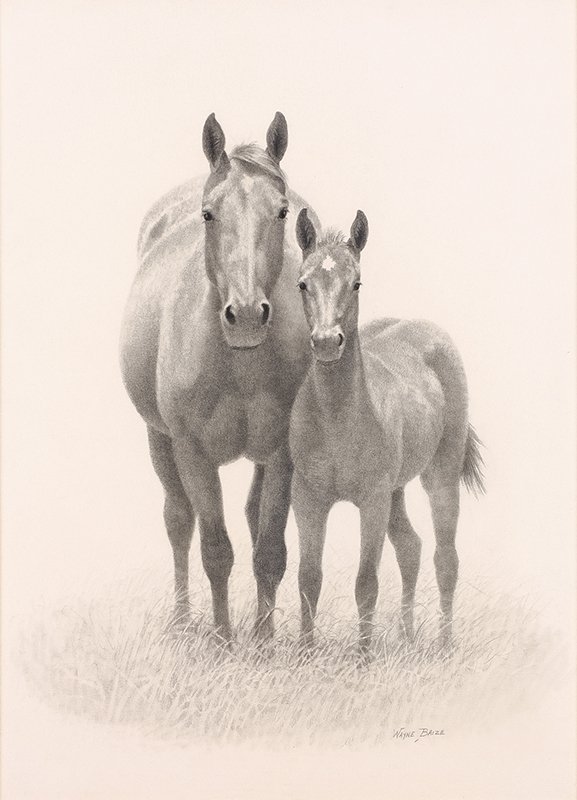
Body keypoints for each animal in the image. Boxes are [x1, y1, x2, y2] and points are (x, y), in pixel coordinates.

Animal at [120, 113, 319, 639]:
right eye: (209, 214)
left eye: (282, 213)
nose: (246, 315)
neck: (240, 364)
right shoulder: (192, 452)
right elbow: (214, 550)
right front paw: (223, 641)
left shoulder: (283, 452)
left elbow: (269, 551)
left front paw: (264, 641)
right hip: (158, 438)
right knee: (177, 519)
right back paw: (183, 620)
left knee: (251, 518)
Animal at [289, 208, 485, 651]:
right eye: (303, 283)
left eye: (356, 282)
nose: (327, 343)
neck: (337, 418)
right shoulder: (308, 499)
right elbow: (308, 578)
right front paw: (304, 653)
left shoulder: (372, 500)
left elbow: (366, 583)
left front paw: (363, 656)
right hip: (397, 488)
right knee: (411, 548)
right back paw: (407, 638)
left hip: (439, 475)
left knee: (445, 557)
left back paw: (444, 645)